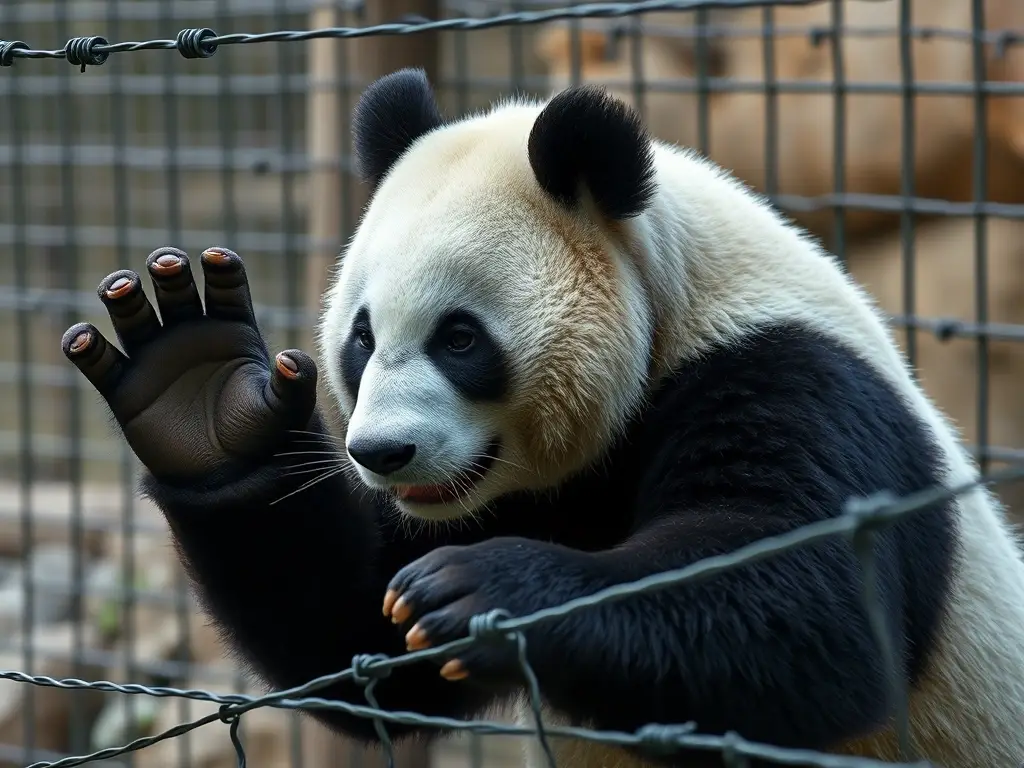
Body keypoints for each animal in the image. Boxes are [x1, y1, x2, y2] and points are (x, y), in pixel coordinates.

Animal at [60, 68, 1024, 768]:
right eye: (362, 337)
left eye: (459, 337)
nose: (382, 453)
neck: (671, 299)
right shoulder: (513, 493)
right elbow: (355, 639)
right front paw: (198, 388)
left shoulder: (791, 373)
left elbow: (812, 602)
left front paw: (477, 589)